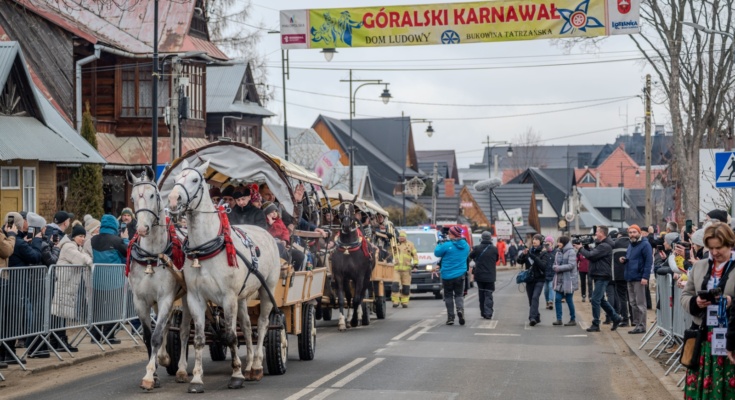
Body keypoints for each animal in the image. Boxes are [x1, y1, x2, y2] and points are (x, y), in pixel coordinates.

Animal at [127, 169, 191, 390]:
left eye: (153, 195)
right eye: (133, 198)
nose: (142, 229)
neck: (151, 256)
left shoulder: (166, 297)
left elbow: (156, 336)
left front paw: (148, 376)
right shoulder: (141, 301)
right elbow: (149, 337)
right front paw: (153, 373)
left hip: (187, 297)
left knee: (183, 332)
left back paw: (181, 370)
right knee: (166, 326)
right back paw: (163, 357)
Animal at [167, 159, 282, 394]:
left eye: (195, 179)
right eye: (175, 179)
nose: (173, 200)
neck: (206, 248)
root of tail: (264, 232)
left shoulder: (228, 297)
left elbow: (230, 336)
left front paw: (236, 376)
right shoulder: (196, 298)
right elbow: (200, 338)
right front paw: (196, 379)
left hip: (266, 290)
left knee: (263, 324)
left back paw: (257, 365)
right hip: (243, 297)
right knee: (246, 326)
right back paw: (249, 366)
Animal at [334, 197, 380, 332]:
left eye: (352, 211)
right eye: (340, 210)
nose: (346, 225)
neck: (348, 248)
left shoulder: (360, 276)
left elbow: (356, 299)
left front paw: (355, 320)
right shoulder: (340, 276)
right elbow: (343, 298)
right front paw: (342, 322)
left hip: (366, 277)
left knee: (360, 296)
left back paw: (358, 316)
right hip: (349, 279)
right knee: (350, 296)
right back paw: (349, 318)